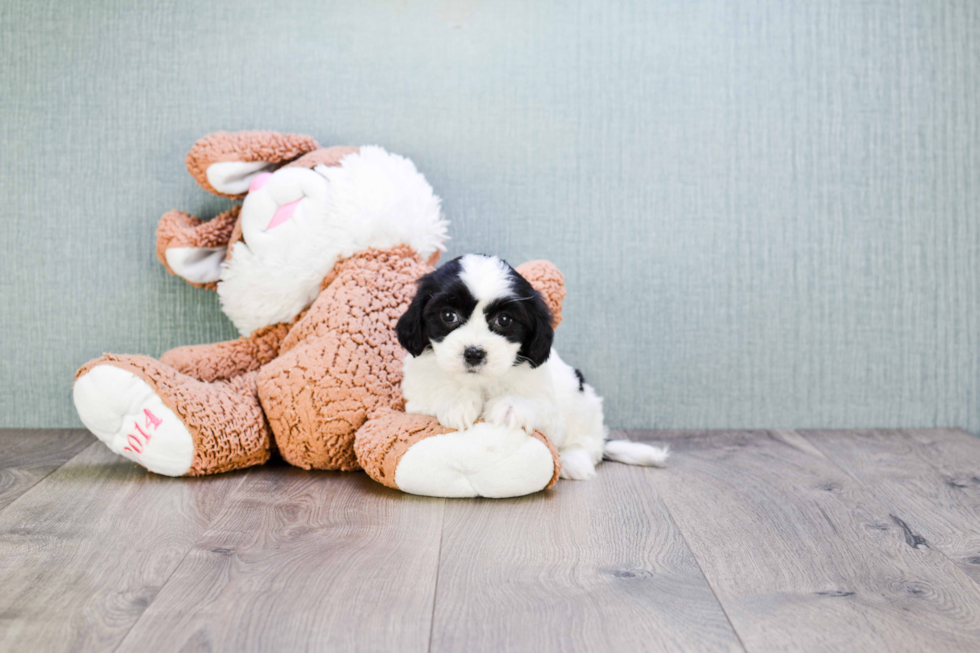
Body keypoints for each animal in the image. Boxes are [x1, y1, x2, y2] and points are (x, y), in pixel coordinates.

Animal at [396, 253, 668, 478]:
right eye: (448, 315)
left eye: (504, 320)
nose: (474, 353)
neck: (482, 382)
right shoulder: (416, 397)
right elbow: (436, 391)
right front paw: (458, 402)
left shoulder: (548, 404)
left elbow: (533, 404)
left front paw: (508, 407)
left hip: (584, 404)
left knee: (588, 444)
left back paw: (573, 461)